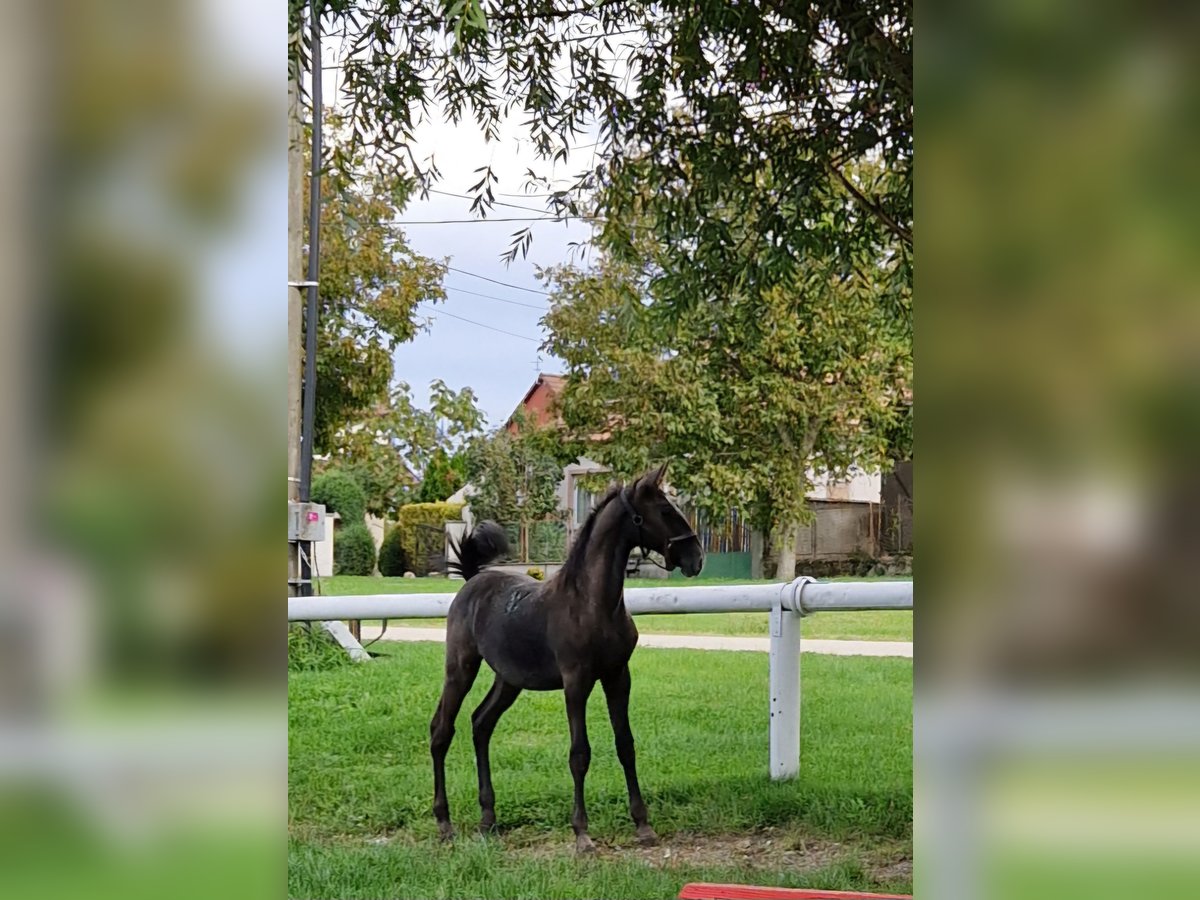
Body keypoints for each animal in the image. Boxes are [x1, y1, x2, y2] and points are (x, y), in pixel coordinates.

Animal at [429, 465, 700, 854]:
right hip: (460, 668)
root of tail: (471, 581)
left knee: (481, 724)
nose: (696, 557)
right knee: (442, 730)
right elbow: (579, 754)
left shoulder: (618, 676)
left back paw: (488, 818)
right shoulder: (576, 682)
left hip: (508, 680)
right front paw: (582, 833)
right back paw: (444, 822)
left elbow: (626, 745)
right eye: (664, 510)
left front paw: (643, 825)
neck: (591, 603)